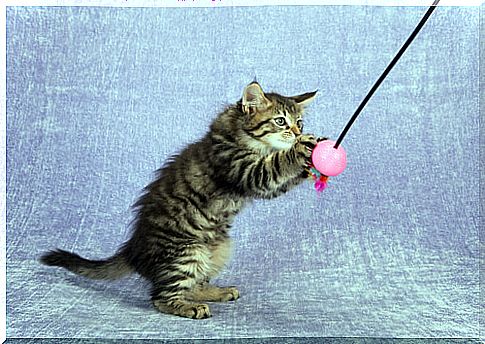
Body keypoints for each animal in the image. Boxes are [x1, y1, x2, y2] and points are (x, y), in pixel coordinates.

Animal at [40, 82, 322, 318]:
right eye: (280, 121)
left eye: (300, 122)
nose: (297, 133)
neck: (249, 140)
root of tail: (133, 250)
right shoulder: (241, 169)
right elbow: (275, 165)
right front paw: (300, 150)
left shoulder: (258, 184)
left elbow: (279, 180)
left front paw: (307, 163)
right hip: (187, 252)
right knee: (160, 297)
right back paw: (189, 307)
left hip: (218, 248)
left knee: (192, 285)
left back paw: (216, 292)